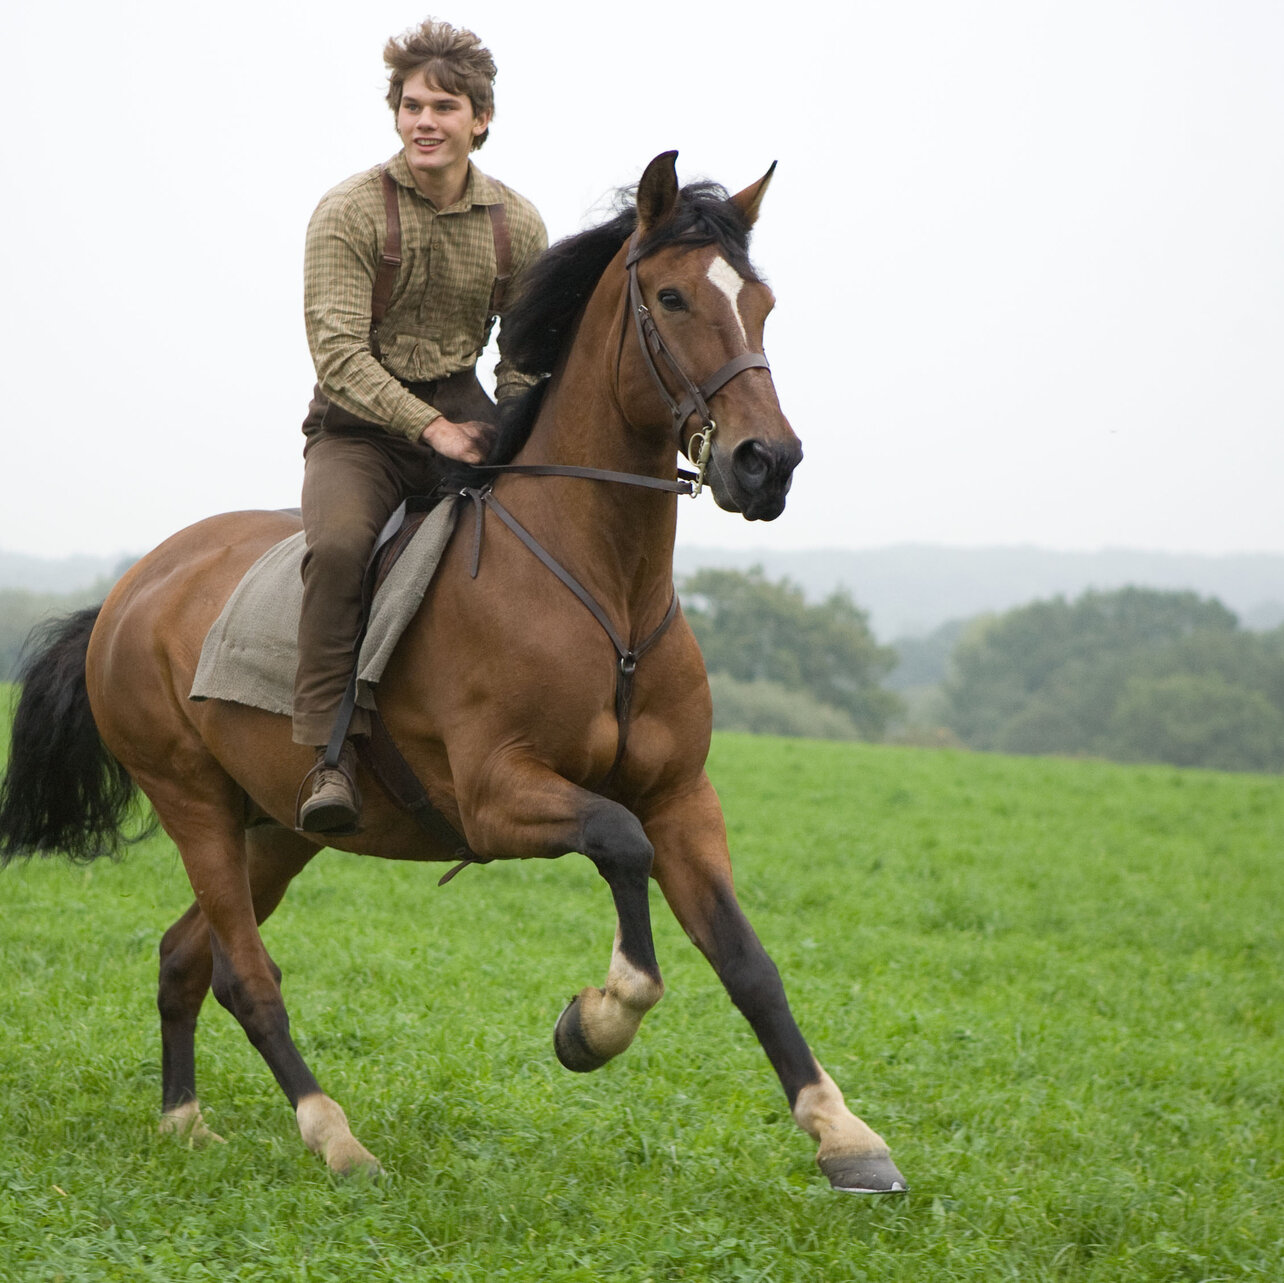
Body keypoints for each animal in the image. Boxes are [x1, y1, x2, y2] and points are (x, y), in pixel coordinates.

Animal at [0, 152, 906, 1193]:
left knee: (188, 956)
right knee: (247, 973)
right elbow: (620, 846)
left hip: (274, 826)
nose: (768, 464)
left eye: (760, 302)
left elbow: (749, 962)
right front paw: (594, 1022)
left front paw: (846, 1136)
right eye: (673, 297)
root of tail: (125, 592)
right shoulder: (496, 794)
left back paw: (184, 1121)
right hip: (193, 806)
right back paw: (335, 1137)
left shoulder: (684, 796)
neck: (604, 590)